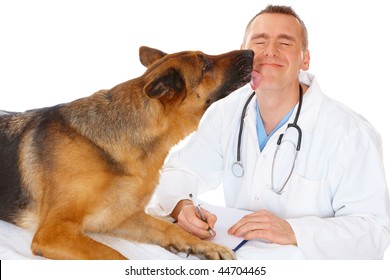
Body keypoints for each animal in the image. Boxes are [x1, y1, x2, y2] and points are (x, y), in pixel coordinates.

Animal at [0, 47, 253, 260]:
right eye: (205, 65)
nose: (250, 52)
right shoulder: (54, 231)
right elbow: (114, 256)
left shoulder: (120, 217)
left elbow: (169, 228)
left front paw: (207, 246)